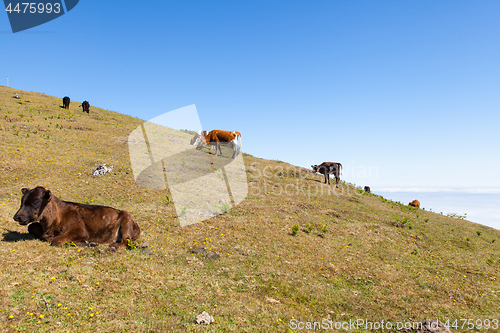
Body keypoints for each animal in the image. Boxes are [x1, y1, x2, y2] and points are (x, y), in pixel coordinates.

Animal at [12, 187, 141, 249]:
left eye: (35, 201)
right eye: (22, 201)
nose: (16, 217)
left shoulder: (79, 231)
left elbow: (56, 241)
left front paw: (89, 243)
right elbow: (31, 227)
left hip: (126, 219)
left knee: (126, 241)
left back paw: (113, 246)